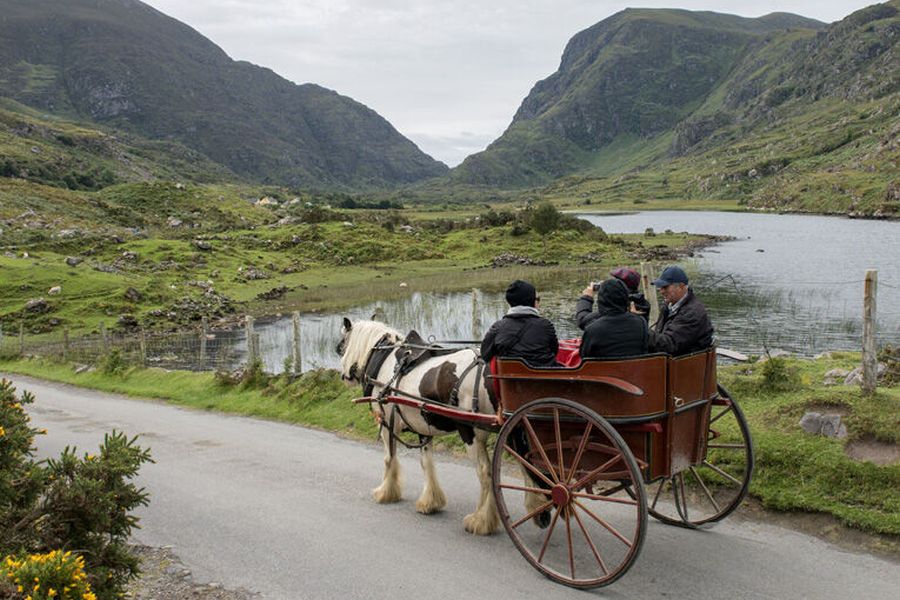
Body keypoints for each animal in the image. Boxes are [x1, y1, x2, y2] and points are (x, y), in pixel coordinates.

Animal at [336, 318, 536, 536]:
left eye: (342, 345)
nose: (344, 376)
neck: (385, 363)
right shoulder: (423, 428)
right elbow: (427, 463)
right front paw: (430, 502)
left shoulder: (388, 424)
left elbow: (389, 458)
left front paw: (386, 492)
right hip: (512, 428)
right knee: (525, 462)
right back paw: (537, 507)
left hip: (470, 433)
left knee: (486, 472)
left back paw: (481, 520)